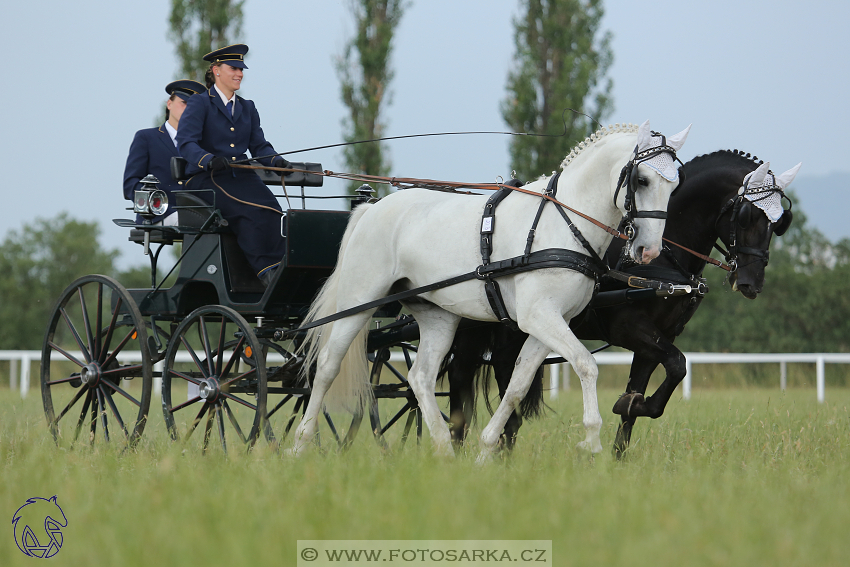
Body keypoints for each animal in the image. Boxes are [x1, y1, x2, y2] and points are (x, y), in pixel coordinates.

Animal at [292, 121, 688, 462]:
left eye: (675, 185)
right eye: (641, 179)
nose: (649, 251)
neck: (562, 224)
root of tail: (371, 207)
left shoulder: (547, 324)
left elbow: (516, 385)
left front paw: (485, 451)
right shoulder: (539, 317)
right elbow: (586, 365)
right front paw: (591, 440)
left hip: (438, 316)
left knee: (420, 377)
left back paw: (444, 451)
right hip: (359, 303)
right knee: (326, 368)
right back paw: (300, 443)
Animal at [440, 149, 800, 454]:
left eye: (778, 223)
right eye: (746, 216)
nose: (751, 282)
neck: (662, 258)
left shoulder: (658, 338)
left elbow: (649, 391)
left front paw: (624, 436)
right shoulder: (630, 328)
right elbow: (678, 364)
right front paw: (627, 406)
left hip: (512, 332)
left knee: (505, 386)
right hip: (474, 327)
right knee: (460, 378)